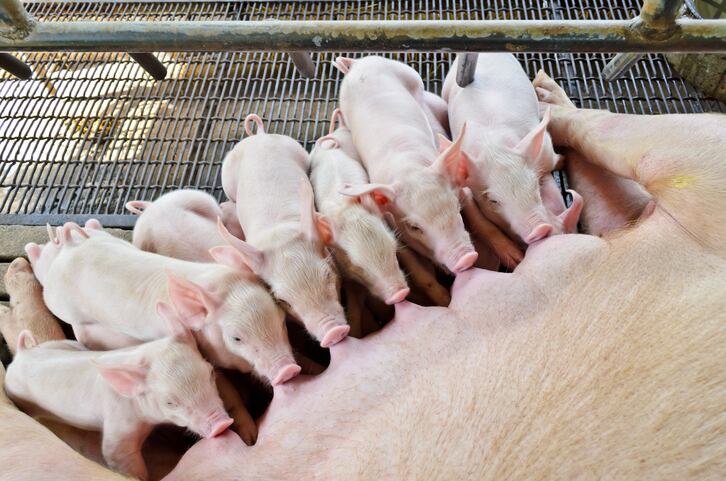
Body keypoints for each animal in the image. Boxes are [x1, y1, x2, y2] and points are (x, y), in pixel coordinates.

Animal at [4, 327, 232, 481]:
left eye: (210, 373)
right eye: (170, 402)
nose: (222, 423)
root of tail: (22, 354)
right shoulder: (119, 424)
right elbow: (115, 453)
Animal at [220, 114, 348, 348]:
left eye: (328, 275)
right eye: (282, 300)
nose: (333, 332)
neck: (278, 233)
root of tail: (259, 136)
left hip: (295, 148)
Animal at [334, 55, 478, 274]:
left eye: (456, 207)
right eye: (414, 227)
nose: (467, 258)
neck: (410, 168)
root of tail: (356, 64)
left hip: (410, 75)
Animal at [442, 53, 583, 244]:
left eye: (535, 186)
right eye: (493, 201)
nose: (540, 228)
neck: (495, 145)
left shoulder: (545, 146)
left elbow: (553, 160)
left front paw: (563, 160)